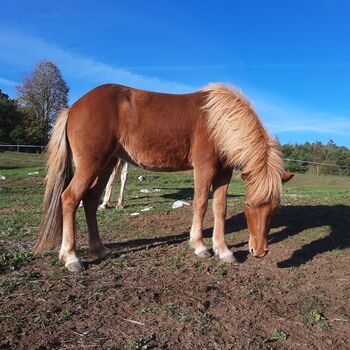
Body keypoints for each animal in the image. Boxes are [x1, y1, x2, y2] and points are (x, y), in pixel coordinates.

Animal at [34, 83, 294, 272]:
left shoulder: (224, 172)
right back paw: (71, 257)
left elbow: (219, 208)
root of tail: (73, 108)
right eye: (249, 205)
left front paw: (224, 251)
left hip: (107, 164)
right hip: (91, 165)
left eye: (274, 208)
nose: (259, 252)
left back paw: (100, 250)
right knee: (70, 198)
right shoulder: (204, 168)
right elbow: (201, 204)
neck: (218, 121)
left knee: (89, 200)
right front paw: (200, 246)